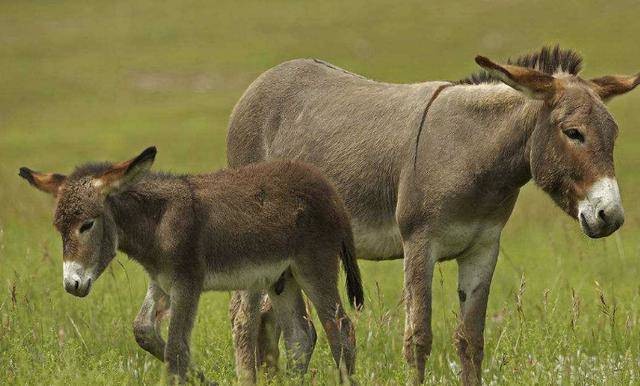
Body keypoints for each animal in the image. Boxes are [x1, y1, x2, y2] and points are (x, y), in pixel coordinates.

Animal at [17, 147, 362, 382]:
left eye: (87, 225)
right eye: (58, 229)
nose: (71, 285)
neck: (159, 222)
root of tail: (328, 189)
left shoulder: (187, 283)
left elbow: (176, 351)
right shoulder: (161, 281)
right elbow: (143, 330)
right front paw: (205, 379)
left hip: (314, 266)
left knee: (341, 329)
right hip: (282, 277)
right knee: (300, 337)